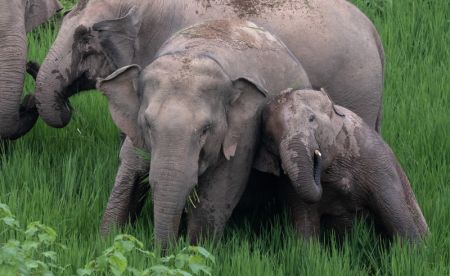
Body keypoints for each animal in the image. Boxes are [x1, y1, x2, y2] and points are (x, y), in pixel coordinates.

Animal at [96, 19, 312, 248]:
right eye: (147, 124)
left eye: (205, 129)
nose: (162, 251)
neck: (196, 51)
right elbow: (130, 168)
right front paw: (106, 241)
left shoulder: (243, 134)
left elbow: (219, 191)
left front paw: (195, 250)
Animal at [253, 89, 428, 242]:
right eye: (269, 138)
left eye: (311, 118)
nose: (317, 157)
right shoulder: (290, 186)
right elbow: (305, 224)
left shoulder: (375, 158)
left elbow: (396, 214)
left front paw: (416, 253)